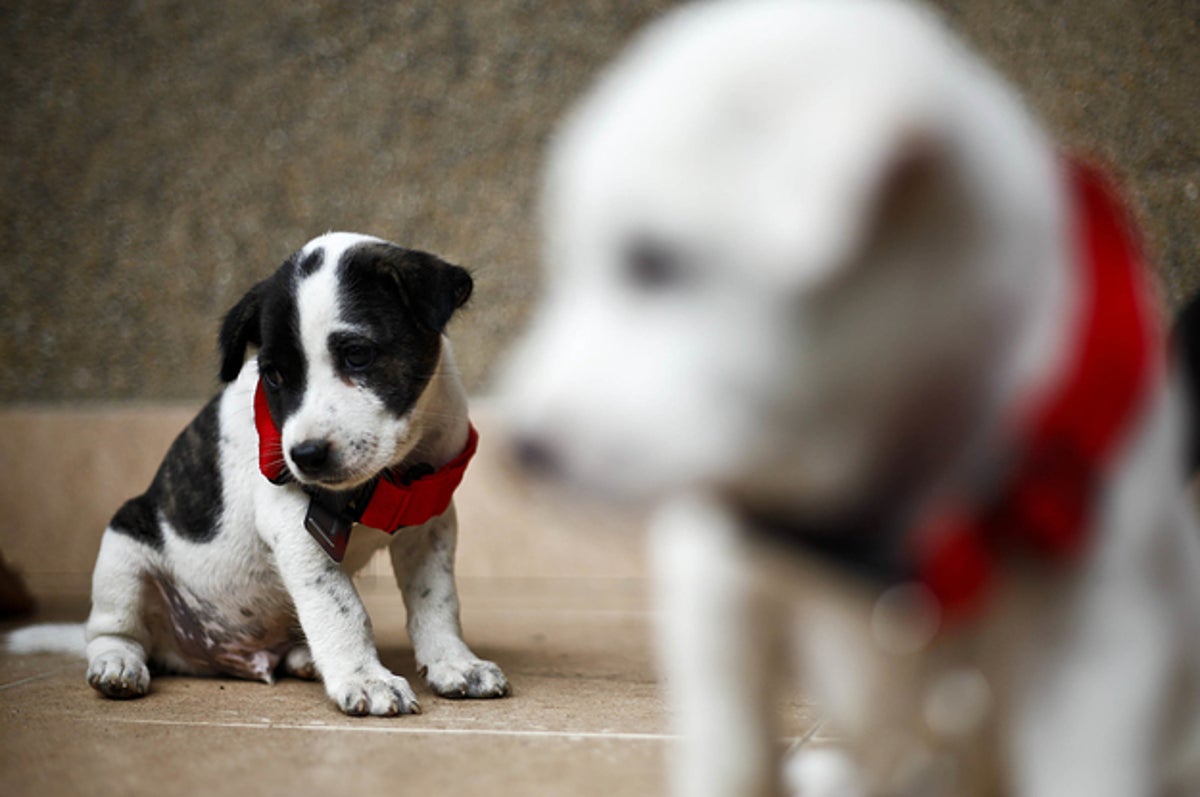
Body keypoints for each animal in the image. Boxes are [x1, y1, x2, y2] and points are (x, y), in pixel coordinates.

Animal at [18, 230, 508, 715]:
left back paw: (305, 658)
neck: (393, 470)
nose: (304, 456)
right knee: (110, 631)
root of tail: (203, 655)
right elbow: (342, 608)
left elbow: (437, 602)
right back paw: (117, 664)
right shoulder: (295, 524)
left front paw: (455, 663)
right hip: (123, 548)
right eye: (273, 376)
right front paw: (366, 678)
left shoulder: (430, 525)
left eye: (357, 356)